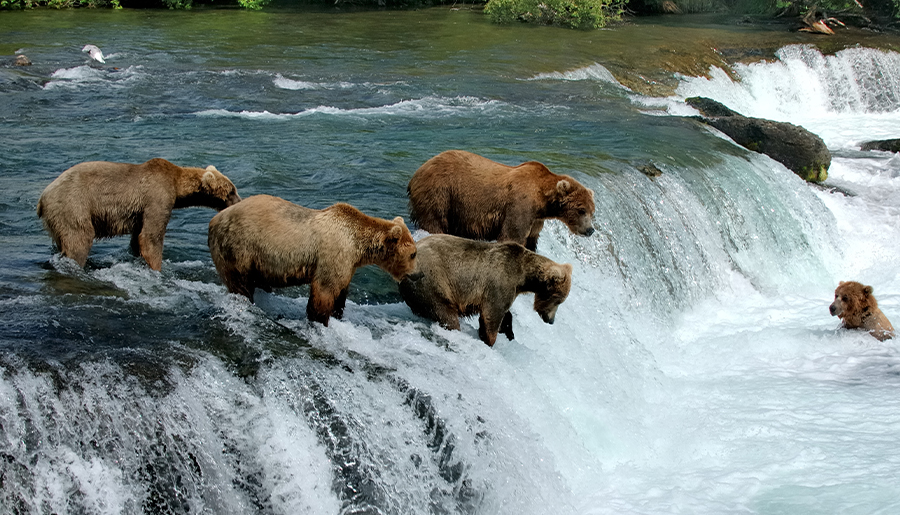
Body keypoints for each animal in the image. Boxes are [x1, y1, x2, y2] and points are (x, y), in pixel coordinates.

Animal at [37, 158, 243, 272]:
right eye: (231, 191)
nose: (240, 201)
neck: (177, 186)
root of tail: (42, 197)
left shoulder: (139, 213)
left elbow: (137, 237)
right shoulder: (157, 197)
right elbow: (151, 235)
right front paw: (157, 268)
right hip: (72, 205)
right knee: (79, 238)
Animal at [210, 196, 422, 328]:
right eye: (414, 253)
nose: (419, 274)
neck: (357, 245)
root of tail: (215, 220)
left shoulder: (347, 264)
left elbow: (341, 292)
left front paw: (338, 314)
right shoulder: (332, 255)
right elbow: (324, 291)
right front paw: (320, 321)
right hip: (238, 247)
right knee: (240, 282)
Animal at [400, 236, 572, 348]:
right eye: (557, 299)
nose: (551, 320)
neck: (523, 277)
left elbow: (505, 313)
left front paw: (509, 332)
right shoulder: (500, 282)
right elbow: (492, 315)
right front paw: (489, 339)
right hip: (432, 281)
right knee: (445, 313)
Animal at [408, 149, 596, 252]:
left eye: (592, 212)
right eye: (581, 210)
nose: (590, 230)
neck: (543, 201)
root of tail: (418, 170)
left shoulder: (536, 220)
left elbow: (531, 240)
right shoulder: (520, 206)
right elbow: (512, 235)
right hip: (440, 192)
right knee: (435, 221)